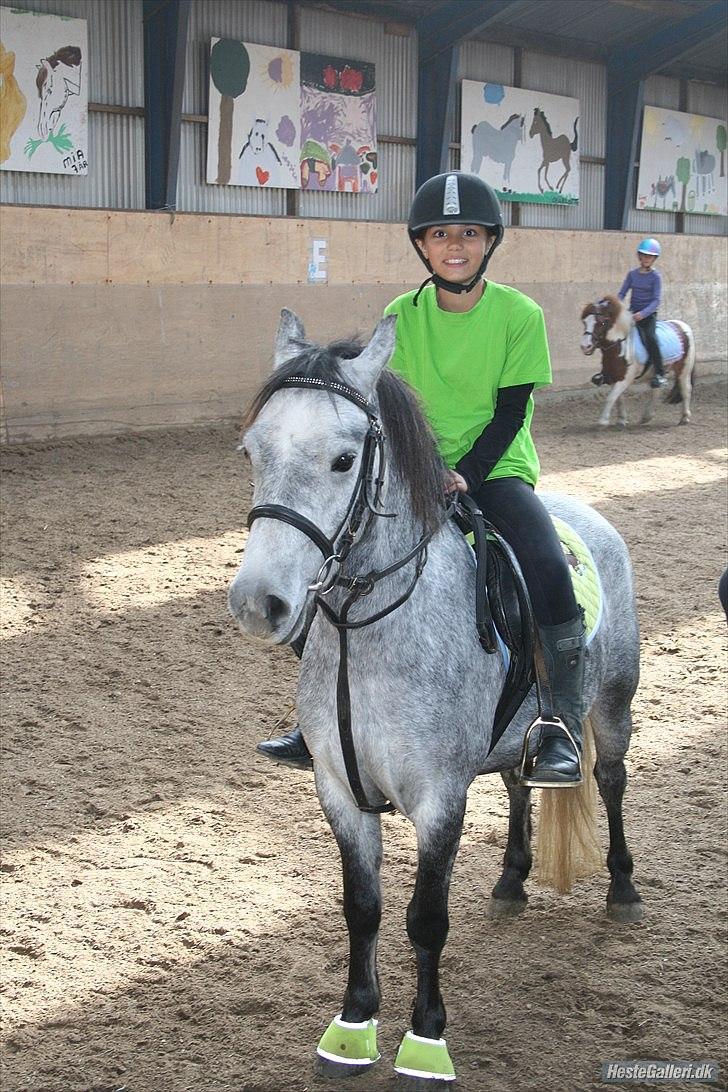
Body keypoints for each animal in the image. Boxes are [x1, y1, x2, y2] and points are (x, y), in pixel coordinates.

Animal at [227, 310, 643, 1084]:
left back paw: (624, 891)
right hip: (515, 738)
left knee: (610, 780)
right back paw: (511, 882)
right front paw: (353, 1024)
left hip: (613, 706)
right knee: (518, 783)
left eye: (344, 460)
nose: (257, 604)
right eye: (251, 451)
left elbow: (426, 917)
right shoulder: (339, 790)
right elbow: (362, 907)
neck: (374, 637)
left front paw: (425, 1040)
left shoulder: (437, 796)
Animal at [580, 295, 695, 428]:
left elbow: (611, 397)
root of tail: (682, 325)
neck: (618, 346)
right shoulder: (614, 377)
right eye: (585, 322)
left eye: (601, 322)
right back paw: (646, 417)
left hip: (684, 370)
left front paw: (603, 421)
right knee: (656, 390)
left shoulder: (625, 379)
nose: (585, 346)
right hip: (657, 371)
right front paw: (621, 420)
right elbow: (618, 399)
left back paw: (684, 418)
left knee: (686, 389)